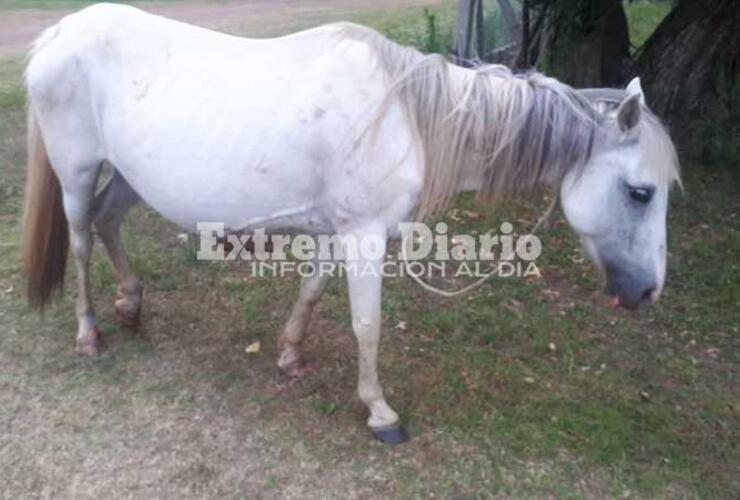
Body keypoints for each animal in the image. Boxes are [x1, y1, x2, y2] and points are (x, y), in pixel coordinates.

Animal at [26, 3, 680, 442]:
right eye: (641, 192)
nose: (647, 292)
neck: (406, 118)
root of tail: (62, 31)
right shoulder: (363, 238)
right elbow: (368, 326)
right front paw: (380, 412)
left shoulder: (335, 232)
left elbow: (312, 291)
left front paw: (290, 356)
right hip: (76, 173)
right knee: (81, 241)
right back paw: (89, 334)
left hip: (130, 176)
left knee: (108, 223)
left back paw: (132, 305)